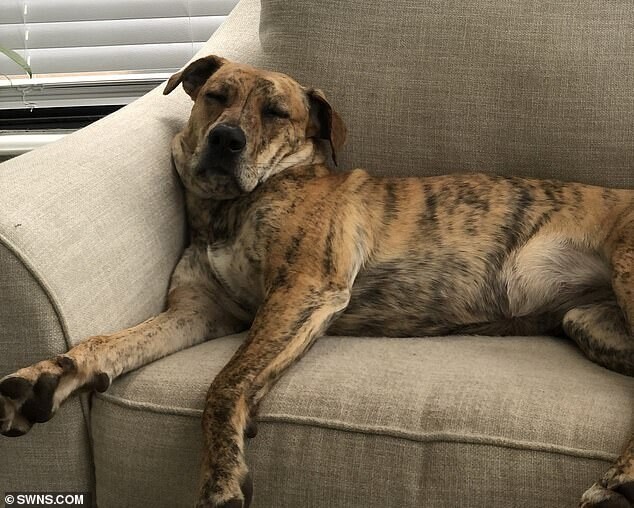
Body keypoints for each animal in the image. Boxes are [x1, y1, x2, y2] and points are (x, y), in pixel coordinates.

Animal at [1, 55, 632, 508]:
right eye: (216, 96)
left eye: (278, 113)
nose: (225, 139)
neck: (234, 207)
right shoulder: (197, 312)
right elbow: (110, 342)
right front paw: (48, 375)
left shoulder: (304, 289)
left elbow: (225, 383)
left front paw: (221, 476)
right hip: (591, 322)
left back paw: (617, 484)